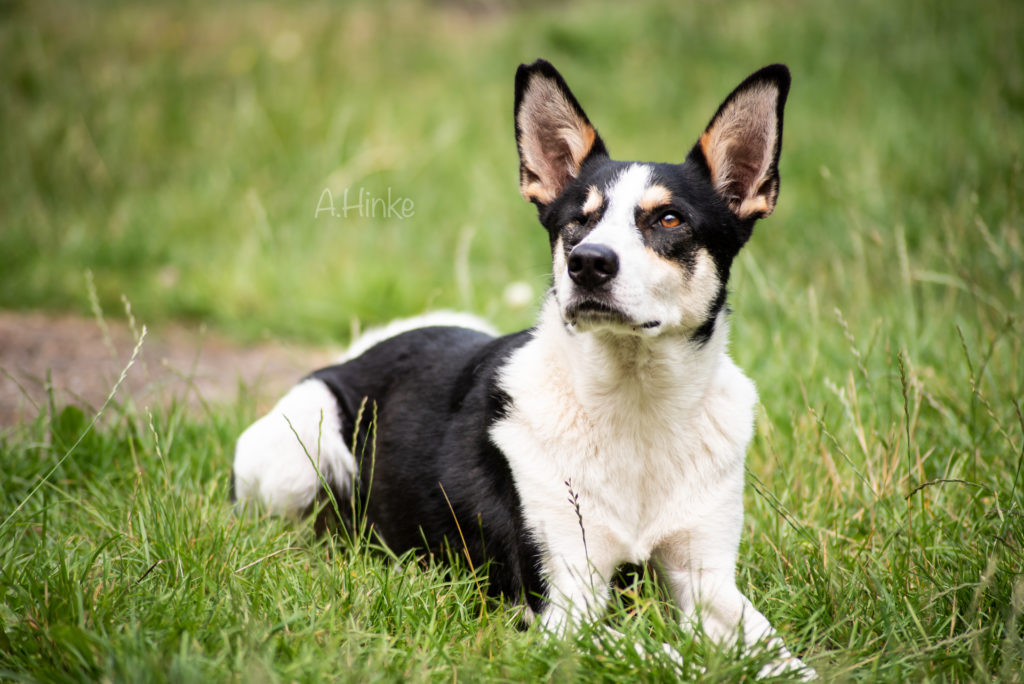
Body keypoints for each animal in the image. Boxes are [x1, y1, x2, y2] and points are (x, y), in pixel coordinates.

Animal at [235, 60, 811, 679]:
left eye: (669, 218)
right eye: (577, 223)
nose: (588, 263)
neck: (636, 408)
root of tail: (355, 357)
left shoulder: (708, 580)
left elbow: (782, 654)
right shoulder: (563, 608)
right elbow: (674, 657)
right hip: (302, 450)